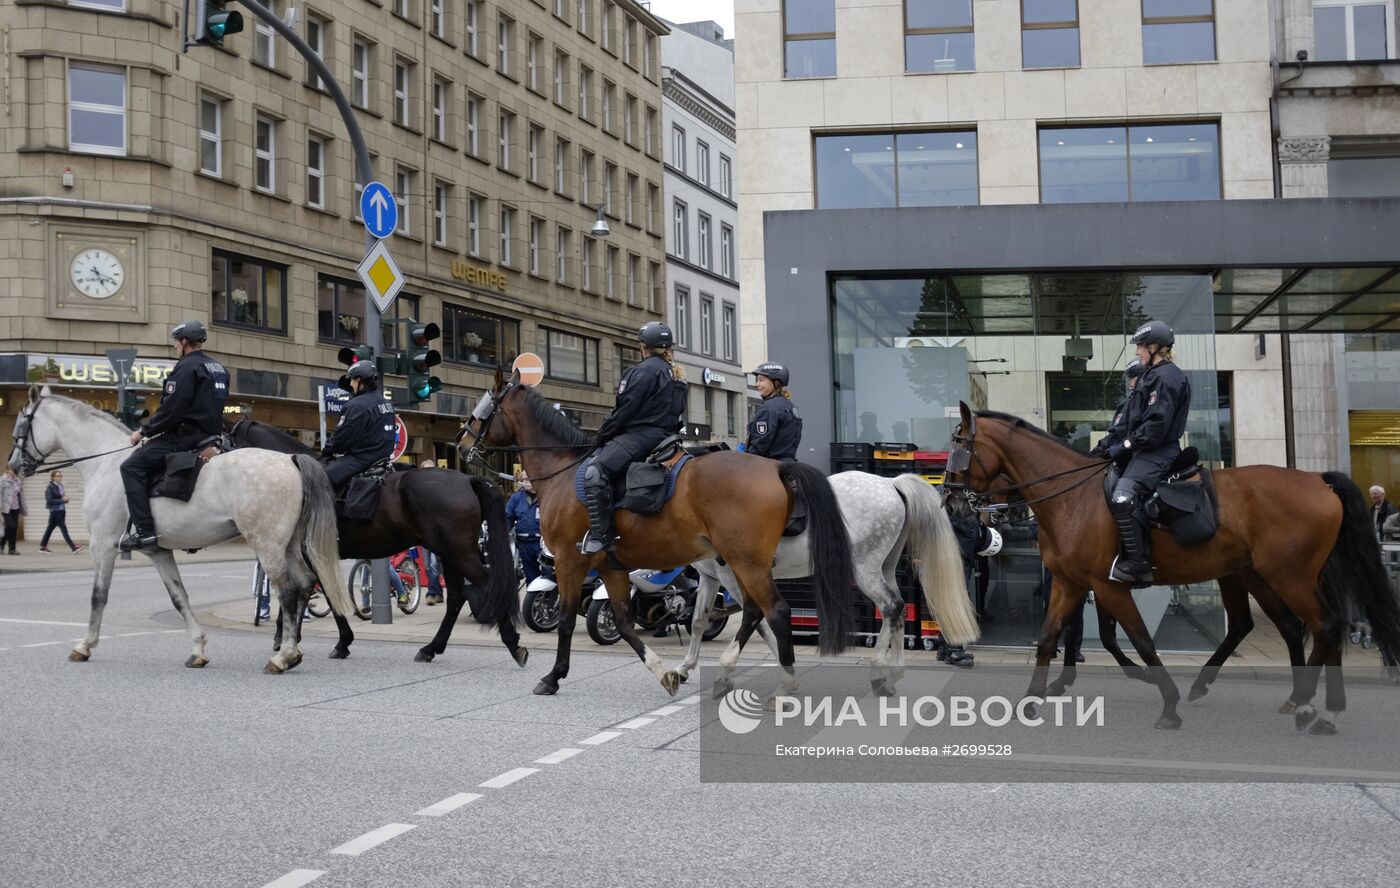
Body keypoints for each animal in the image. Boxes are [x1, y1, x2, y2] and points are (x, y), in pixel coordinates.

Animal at [8, 386, 355, 669]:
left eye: (21, 425)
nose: (13, 465)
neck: (105, 463)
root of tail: (290, 459)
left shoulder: (103, 546)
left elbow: (98, 597)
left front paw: (85, 645)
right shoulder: (158, 552)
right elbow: (179, 598)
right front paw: (198, 649)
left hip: (267, 545)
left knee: (287, 590)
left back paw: (283, 656)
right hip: (290, 545)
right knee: (305, 583)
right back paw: (295, 650)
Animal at [229, 417, 526, 663]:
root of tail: (467, 479)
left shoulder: (312, 555)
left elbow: (317, 594)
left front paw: (305, 639)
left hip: (458, 553)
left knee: (490, 588)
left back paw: (513, 644)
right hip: (450, 554)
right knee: (456, 597)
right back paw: (431, 648)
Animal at [462, 366, 851, 697]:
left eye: (484, 406)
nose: (461, 444)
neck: (563, 471)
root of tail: (775, 468)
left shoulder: (568, 560)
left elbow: (566, 619)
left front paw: (553, 676)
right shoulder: (611, 568)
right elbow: (622, 621)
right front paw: (665, 672)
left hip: (746, 562)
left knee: (776, 611)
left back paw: (781, 681)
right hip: (741, 563)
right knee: (755, 612)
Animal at [674, 470, 980, 691]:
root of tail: (890, 483)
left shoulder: (735, 576)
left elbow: (757, 619)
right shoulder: (710, 577)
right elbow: (699, 621)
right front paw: (683, 668)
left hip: (865, 570)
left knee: (891, 606)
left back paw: (878, 671)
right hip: (885, 567)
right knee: (899, 610)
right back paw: (892, 675)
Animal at [940, 403, 1400, 733]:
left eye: (960, 444)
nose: (950, 502)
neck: (1072, 496)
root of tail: (1317, 480)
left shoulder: (1108, 587)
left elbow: (1140, 641)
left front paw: (1167, 702)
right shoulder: (1070, 585)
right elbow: (1050, 637)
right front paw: (1032, 700)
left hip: (1289, 577)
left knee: (1325, 625)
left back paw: (1313, 708)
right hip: (1258, 574)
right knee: (1287, 626)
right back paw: (1304, 704)